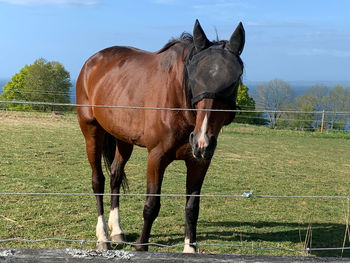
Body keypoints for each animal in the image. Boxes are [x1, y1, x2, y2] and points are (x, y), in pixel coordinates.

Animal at [77, 19, 245, 253]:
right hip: (92, 132)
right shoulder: (156, 158)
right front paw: (141, 246)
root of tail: (92, 61)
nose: (202, 142)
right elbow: (151, 205)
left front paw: (189, 249)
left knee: (115, 176)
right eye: (194, 77)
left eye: (234, 80)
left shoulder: (199, 162)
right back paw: (103, 236)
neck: (178, 101)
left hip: (124, 140)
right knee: (98, 181)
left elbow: (192, 208)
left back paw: (117, 230)